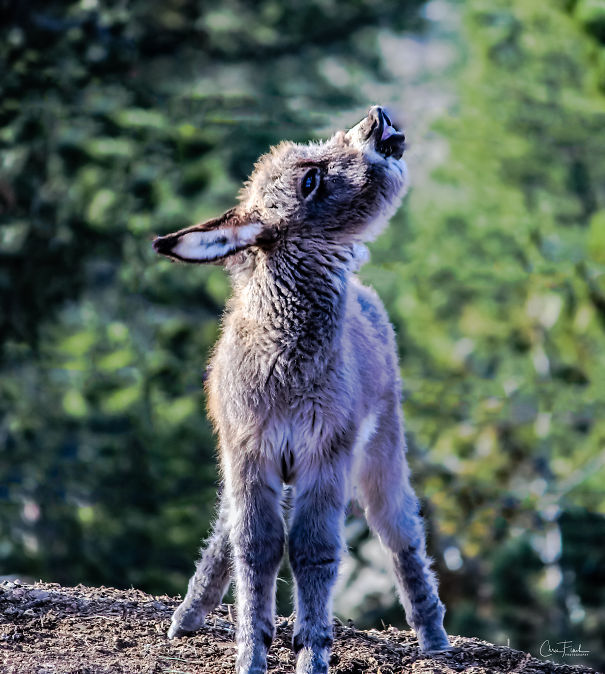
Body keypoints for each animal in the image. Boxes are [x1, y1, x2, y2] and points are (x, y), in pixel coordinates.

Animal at [153, 106, 450, 672]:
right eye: (310, 179)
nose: (377, 117)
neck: (284, 361)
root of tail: (366, 294)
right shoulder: (249, 452)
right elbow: (256, 545)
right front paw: (251, 652)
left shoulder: (325, 453)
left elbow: (313, 550)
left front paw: (310, 653)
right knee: (229, 525)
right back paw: (188, 617)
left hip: (381, 448)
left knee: (399, 527)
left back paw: (435, 638)